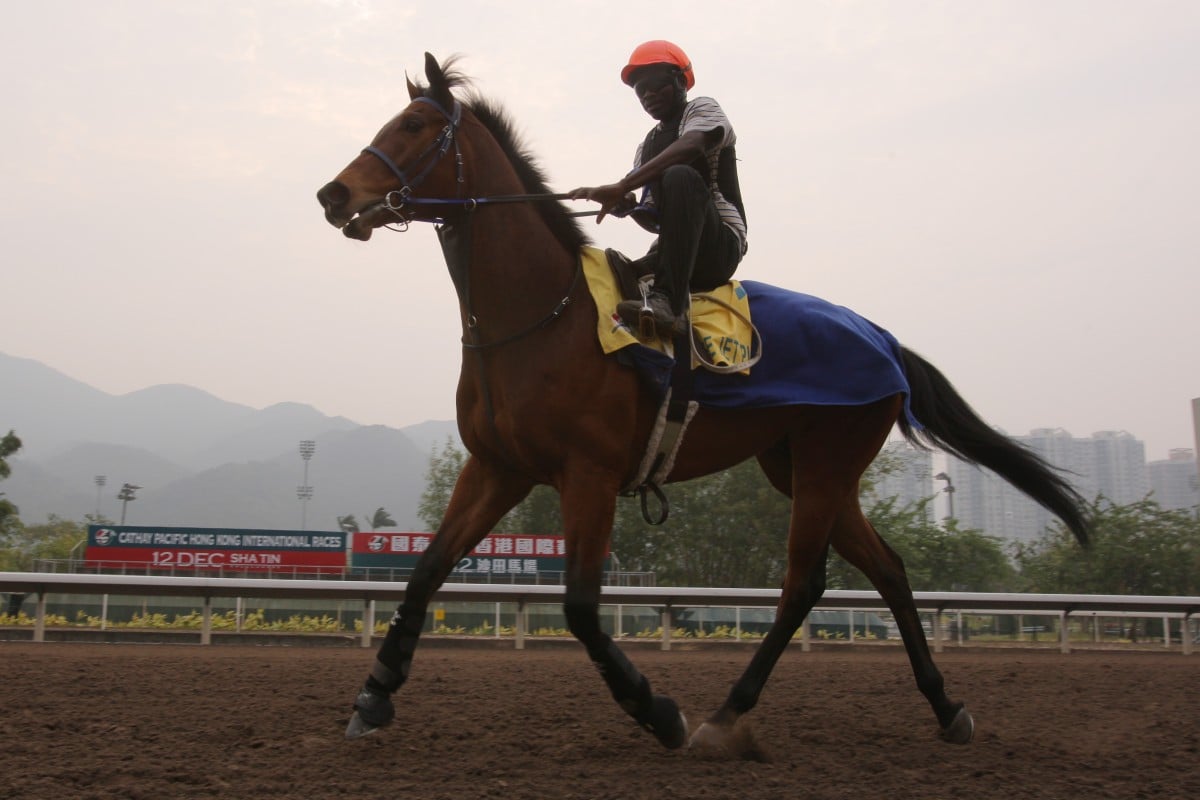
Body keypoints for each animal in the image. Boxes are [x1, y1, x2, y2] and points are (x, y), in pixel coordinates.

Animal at [316, 53, 1089, 756]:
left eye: (414, 125)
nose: (332, 193)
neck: (541, 317)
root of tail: (882, 337)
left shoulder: (589, 474)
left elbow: (582, 607)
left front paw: (657, 710)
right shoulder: (498, 467)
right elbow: (425, 573)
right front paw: (374, 695)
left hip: (828, 459)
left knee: (802, 583)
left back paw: (727, 713)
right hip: (804, 466)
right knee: (887, 570)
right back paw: (945, 707)